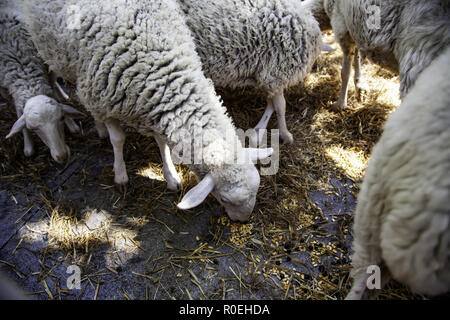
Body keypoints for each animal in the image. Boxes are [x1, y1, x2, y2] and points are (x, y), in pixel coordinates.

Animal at [0, 0, 85, 164]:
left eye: (61, 118)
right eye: (33, 129)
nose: (62, 156)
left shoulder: (46, 64)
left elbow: (54, 94)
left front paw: (71, 124)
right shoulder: (5, 89)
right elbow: (19, 112)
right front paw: (28, 146)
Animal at [22, 0, 274, 222]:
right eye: (224, 198)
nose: (242, 221)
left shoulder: (153, 108)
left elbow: (162, 143)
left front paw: (171, 176)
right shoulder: (105, 100)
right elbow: (118, 139)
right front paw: (121, 175)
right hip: (60, 58)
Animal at [302, 0, 450, 110]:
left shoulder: (341, 23)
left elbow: (345, 70)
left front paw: (340, 103)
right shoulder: (354, 25)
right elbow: (357, 55)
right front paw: (359, 86)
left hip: (420, 54)